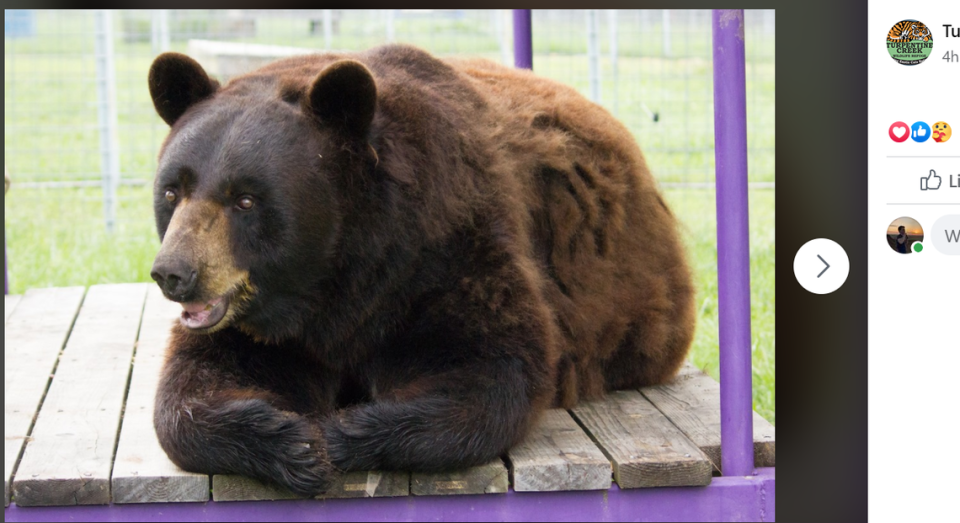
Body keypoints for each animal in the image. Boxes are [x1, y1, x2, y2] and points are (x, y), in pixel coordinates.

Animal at [146, 44, 692, 496]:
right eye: (173, 191)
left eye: (244, 198)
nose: (173, 273)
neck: (337, 279)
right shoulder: (268, 323)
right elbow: (192, 387)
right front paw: (289, 440)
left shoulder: (445, 248)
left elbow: (494, 368)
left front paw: (340, 433)